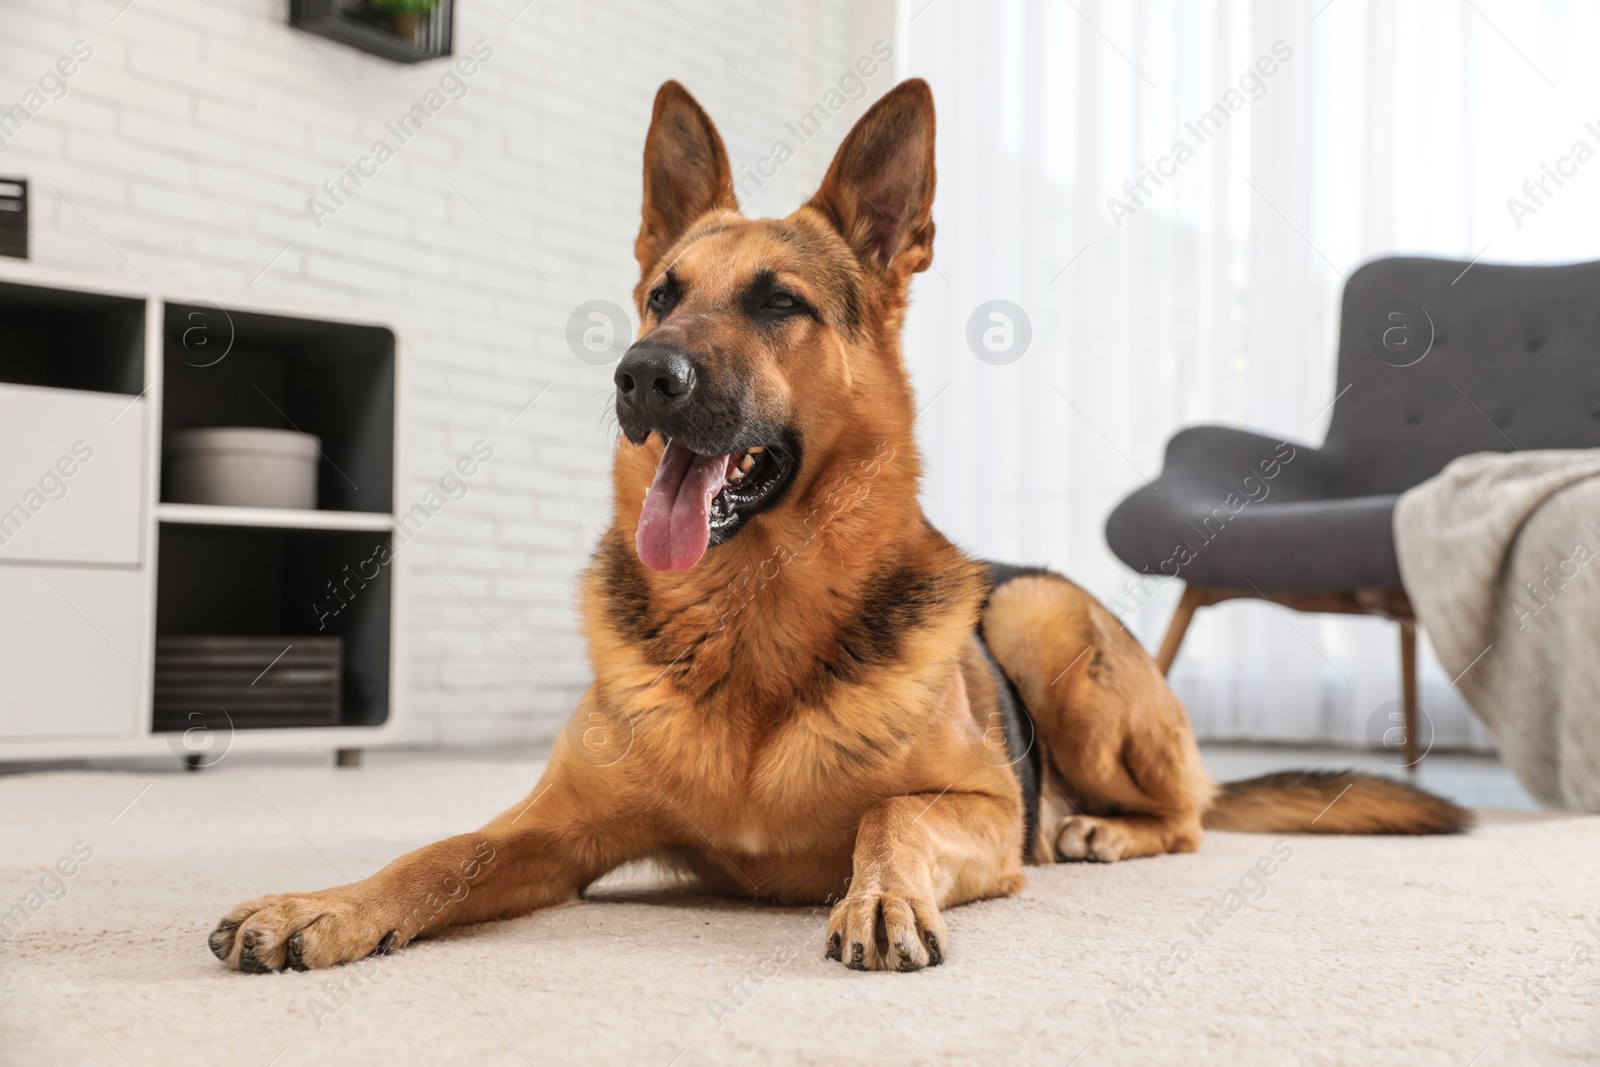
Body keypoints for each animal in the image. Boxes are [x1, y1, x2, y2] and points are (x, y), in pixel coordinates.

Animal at [206, 77, 1465, 979]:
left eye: (777, 303)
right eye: (661, 295)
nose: (638, 375)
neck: (749, 620)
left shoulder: (979, 806)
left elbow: (893, 811)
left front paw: (882, 890)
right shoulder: (555, 830)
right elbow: (441, 850)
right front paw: (324, 904)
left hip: (1044, 620)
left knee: (1188, 817)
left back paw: (1102, 830)